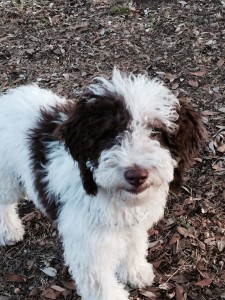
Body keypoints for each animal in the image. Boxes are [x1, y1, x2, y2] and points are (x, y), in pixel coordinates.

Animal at [0, 69, 206, 300]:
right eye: (110, 133)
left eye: (156, 131)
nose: (136, 175)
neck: (115, 197)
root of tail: (8, 97)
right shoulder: (89, 248)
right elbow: (100, 283)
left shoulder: (133, 227)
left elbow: (134, 245)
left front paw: (135, 271)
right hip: (7, 180)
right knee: (4, 204)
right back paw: (9, 230)